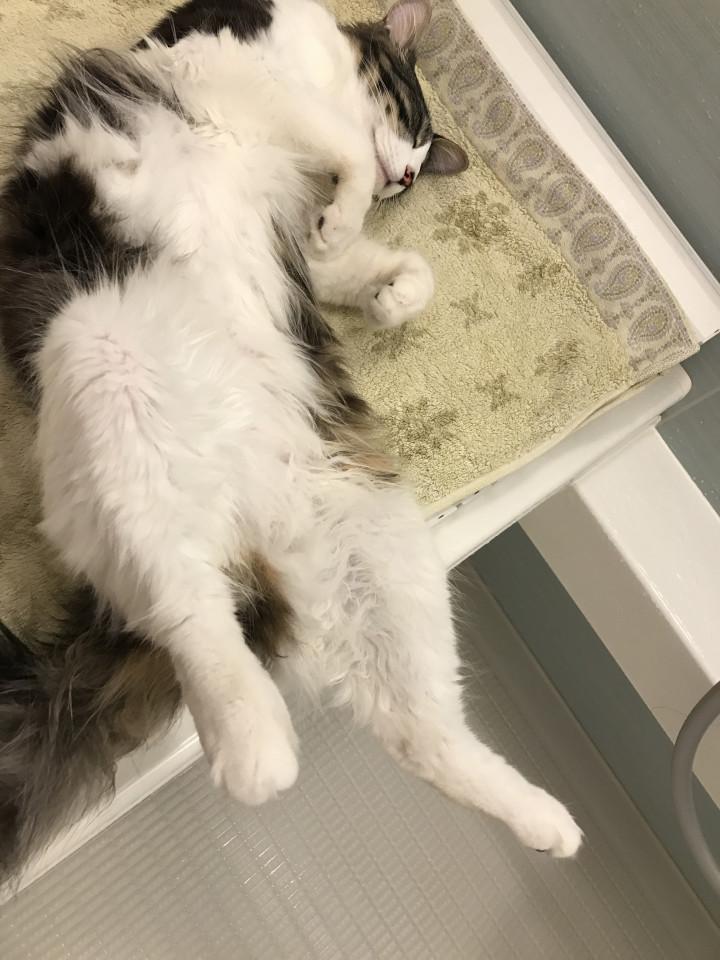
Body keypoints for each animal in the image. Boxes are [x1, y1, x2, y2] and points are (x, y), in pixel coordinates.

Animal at [0, 0, 581, 881]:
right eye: (411, 120)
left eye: (421, 164)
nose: (405, 178)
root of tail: (251, 521)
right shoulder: (232, 65)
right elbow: (344, 149)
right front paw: (353, 214)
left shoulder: (302, 231)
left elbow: (380, 265)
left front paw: (390, 293)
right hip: (111, 396)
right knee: (190, 615)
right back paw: (257, 748)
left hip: (378, 553)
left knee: (422, 732)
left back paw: (553, 826)